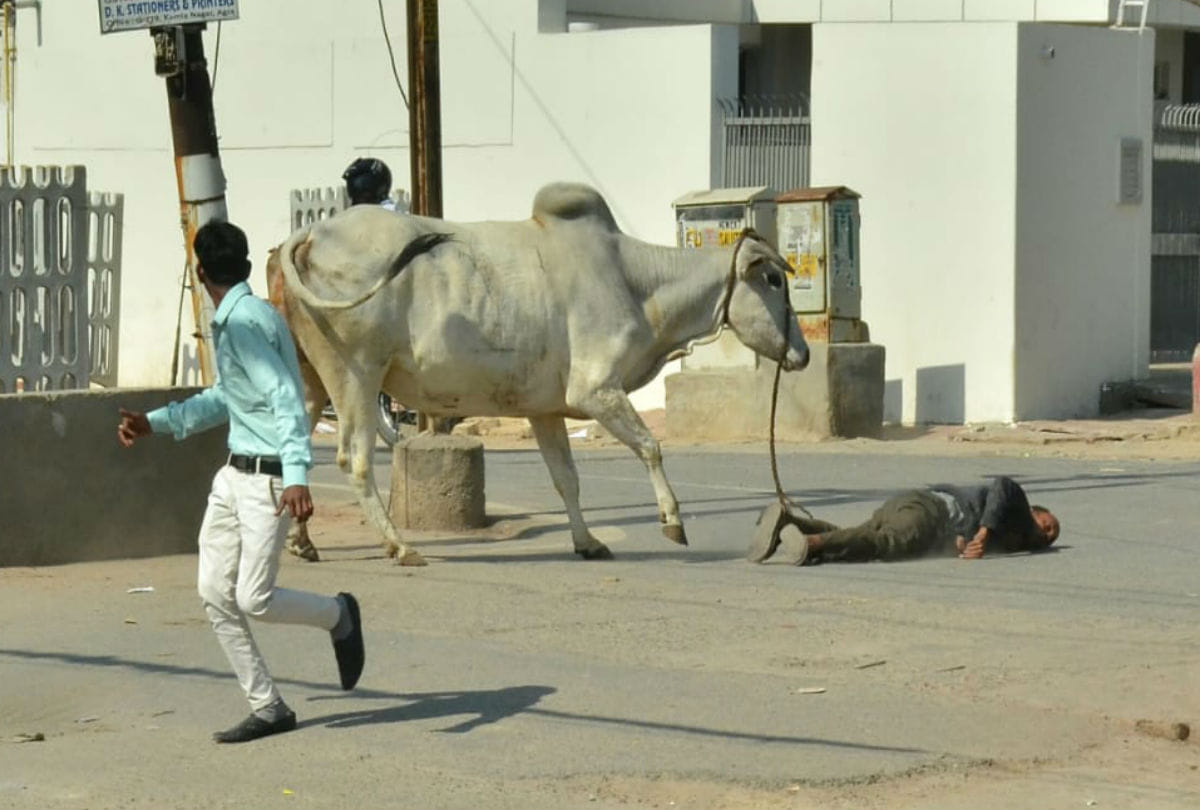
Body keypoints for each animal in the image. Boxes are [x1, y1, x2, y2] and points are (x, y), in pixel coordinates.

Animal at [268, 182, 809, 565]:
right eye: (773, 278)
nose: (801, 354)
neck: (635, 281)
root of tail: (308, 234)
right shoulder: (597, 389)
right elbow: (650, 447)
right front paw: (672, 521)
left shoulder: (545, 408)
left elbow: (566, 479)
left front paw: (587, 542)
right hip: (357, 373)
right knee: (354, 458)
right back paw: (400, 546)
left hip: (309, 378)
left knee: (294, 453)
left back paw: (302, 543)